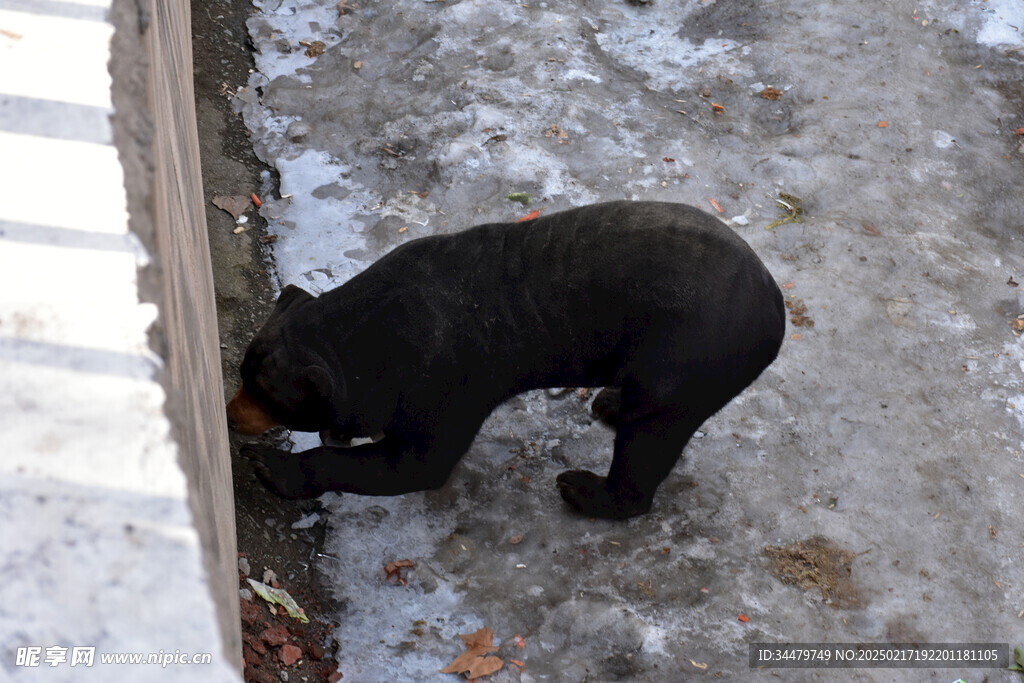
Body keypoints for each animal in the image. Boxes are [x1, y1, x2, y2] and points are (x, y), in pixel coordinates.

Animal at [226, 201, 782, 518]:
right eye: (242, 375)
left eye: (269, 397)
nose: (230, 416)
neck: (362, 330)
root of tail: (774, 308)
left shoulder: (443, 379)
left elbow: (416, 463)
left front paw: (273, 466)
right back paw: (611, 402)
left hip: (686, 360)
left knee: (649, 441)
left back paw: (586, 490)